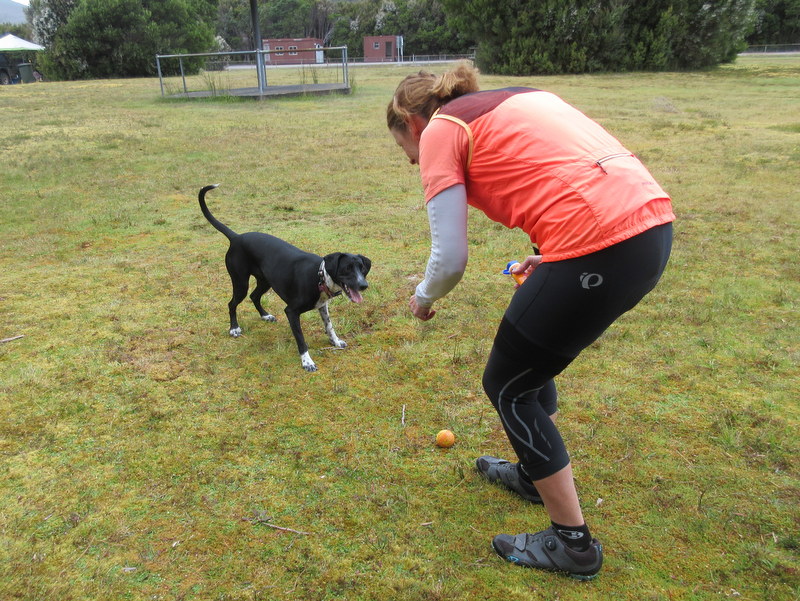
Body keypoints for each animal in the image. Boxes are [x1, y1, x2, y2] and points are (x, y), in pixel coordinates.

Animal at [199, 184, 371, 372]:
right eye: (347, 269)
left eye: (362, 269)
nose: (364, 285)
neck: (319, 277)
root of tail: (236, 237)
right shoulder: (291, 312)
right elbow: (301, 340)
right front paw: (307, 362)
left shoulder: (322, 306)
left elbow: (329, 326)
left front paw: (336, 341)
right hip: (240, 282)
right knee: (232, 303)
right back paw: (234, 328)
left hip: (265, 281)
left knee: (254, 296)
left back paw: (265, 316)